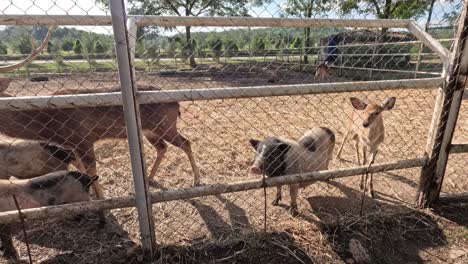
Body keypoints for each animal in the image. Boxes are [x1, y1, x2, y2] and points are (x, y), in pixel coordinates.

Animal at [0, 27, 201, 202]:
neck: (48, 125)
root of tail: (177, 103)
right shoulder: (72, 144)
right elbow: (81, 167)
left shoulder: (83, 138)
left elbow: (91, 170)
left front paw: (102, 198)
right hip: (150, 130)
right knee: (162, 147)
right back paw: (150, 179)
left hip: (165, 124)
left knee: (186, 142)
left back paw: (196, 180)